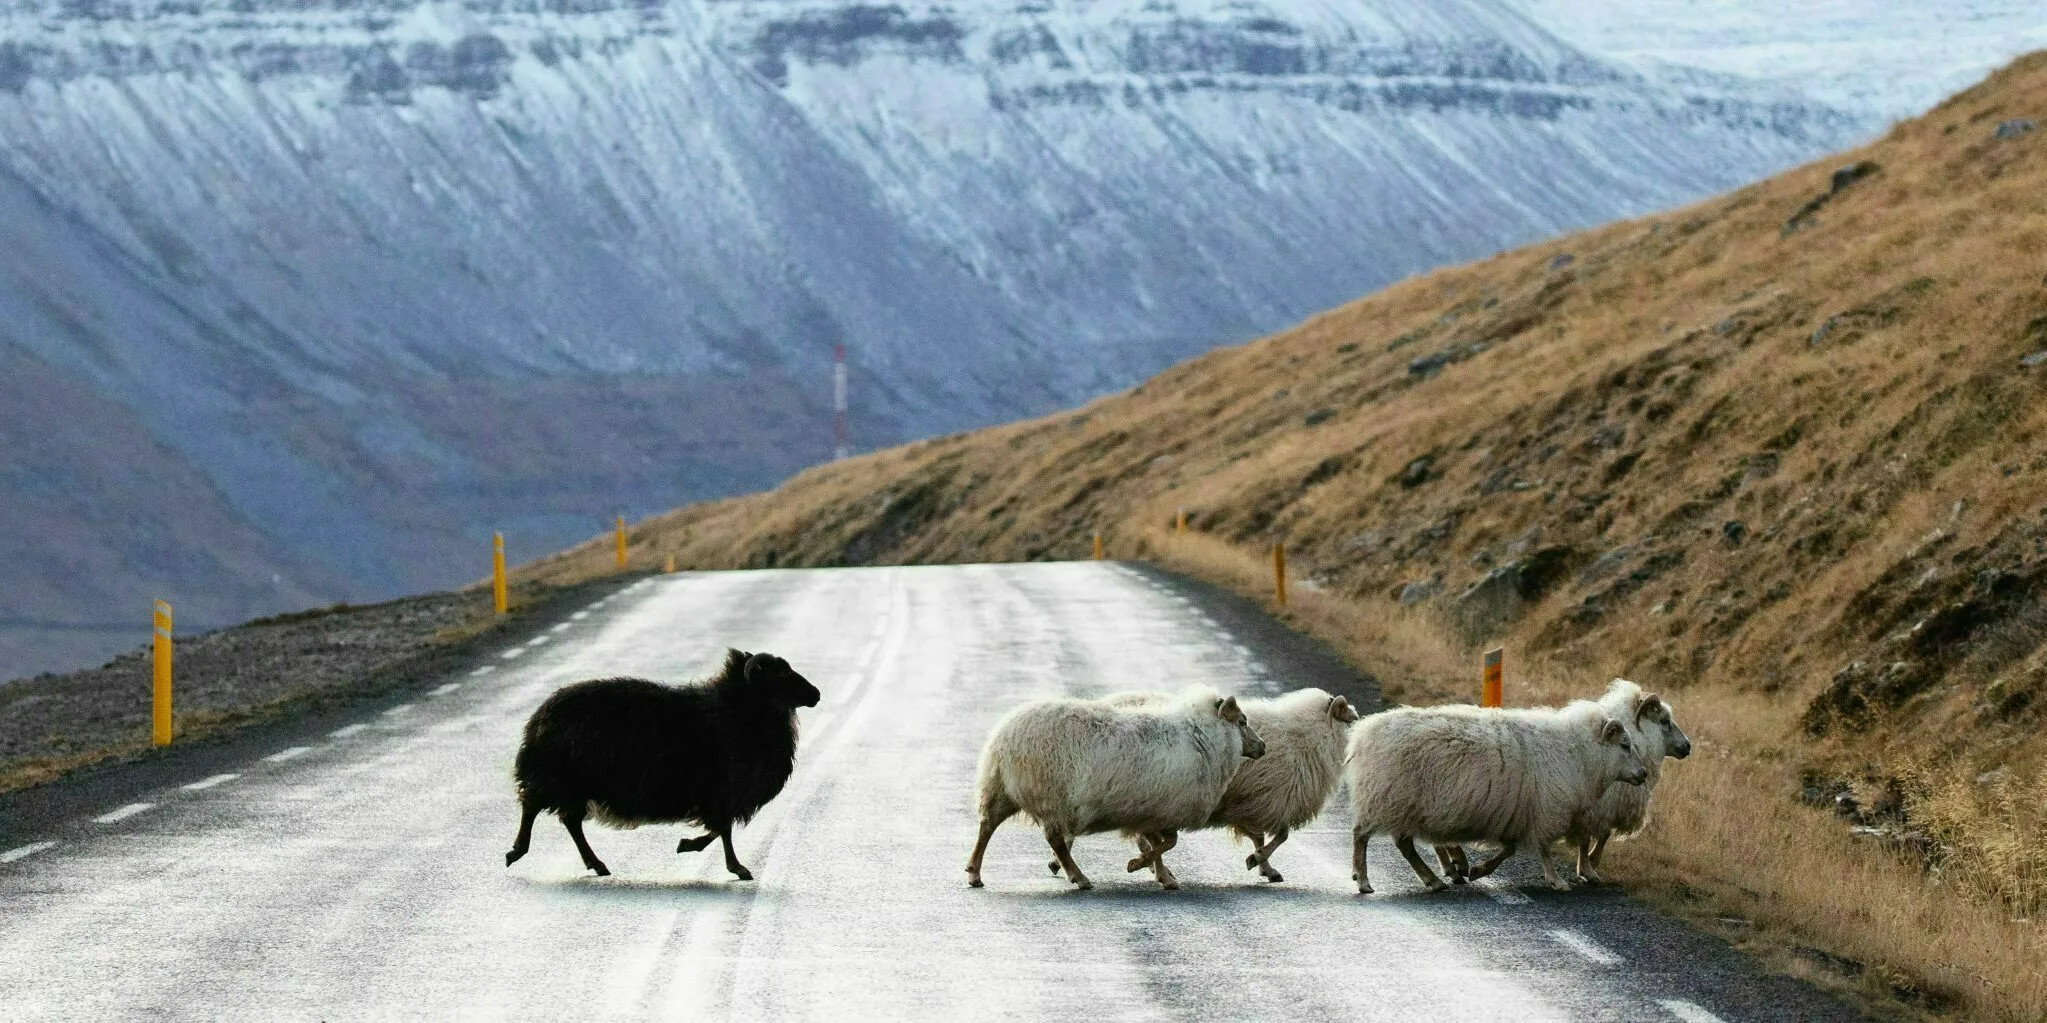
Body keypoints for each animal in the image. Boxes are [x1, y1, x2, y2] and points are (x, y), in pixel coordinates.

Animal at [501, 646, 814, 879]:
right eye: (781, 675)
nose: (816, 694)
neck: (739, 709)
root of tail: (538, 719)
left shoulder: (718, 796)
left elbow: (717, 830)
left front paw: (689, 846)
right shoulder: (721, 791)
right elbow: (722, 830)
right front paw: (736, 867)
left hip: (575, 783)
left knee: (570, 820)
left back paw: (596, 864)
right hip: (559, 776)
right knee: (532, 805)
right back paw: (516, 851)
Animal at [962, 687, 1260, 887]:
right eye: (1242, 721)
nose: (1263, 747)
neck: (1202, 737)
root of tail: (1003, 739)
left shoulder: (1146, 811)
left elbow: (1160, 845)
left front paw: (1161, 875)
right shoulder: (1160, 811)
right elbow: (1167, 844)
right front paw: (1140, 866)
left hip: (1002, 790)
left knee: (987, 826)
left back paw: (974, 872)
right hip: (1050, 796)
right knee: (1055, 840)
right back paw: (1079, 877)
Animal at [1105, 691, 1359, 883]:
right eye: (1344, 710)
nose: (1358, 715)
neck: (1309, 735)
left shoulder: (1254, 804)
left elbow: (1262, 836)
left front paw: (1264, 866)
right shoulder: (1267, 800)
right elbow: (1279, 836)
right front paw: (1258, 860)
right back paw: (1159, 872)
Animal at [1351, 703, 1653, 896]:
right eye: (1625, 746)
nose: (1644, 774)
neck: (1578, 752)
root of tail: (1366, 732)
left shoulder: (1519, 814)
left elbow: (1510, 849)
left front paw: (1478, 870)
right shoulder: (1547, 810)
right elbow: (1543, 849)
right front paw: (1556, 881)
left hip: (1400, 804)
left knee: (1404, 845)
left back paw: (1433, 880)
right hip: (1387, 798)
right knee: (1362, 836)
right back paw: (1364, 880)